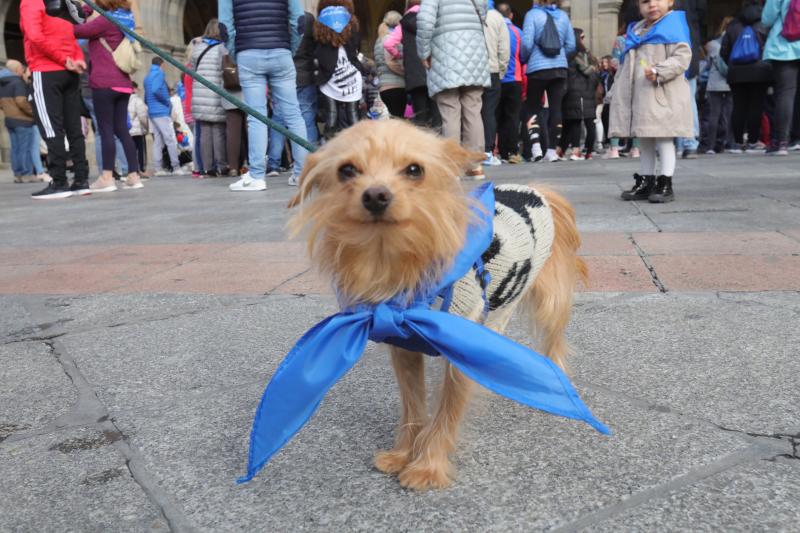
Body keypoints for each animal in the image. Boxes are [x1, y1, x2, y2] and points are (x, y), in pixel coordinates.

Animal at [290, 120, 588, 490]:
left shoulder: (461, 353)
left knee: (555, 340)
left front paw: (428, 466)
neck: (395, 262)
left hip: (550, 301)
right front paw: (404, 453)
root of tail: (536, 190)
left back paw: (554, 377)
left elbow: (447, 413)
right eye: (347, 170)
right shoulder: (404, 347)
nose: (375, 195)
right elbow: (413, 404)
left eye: (414, 170)